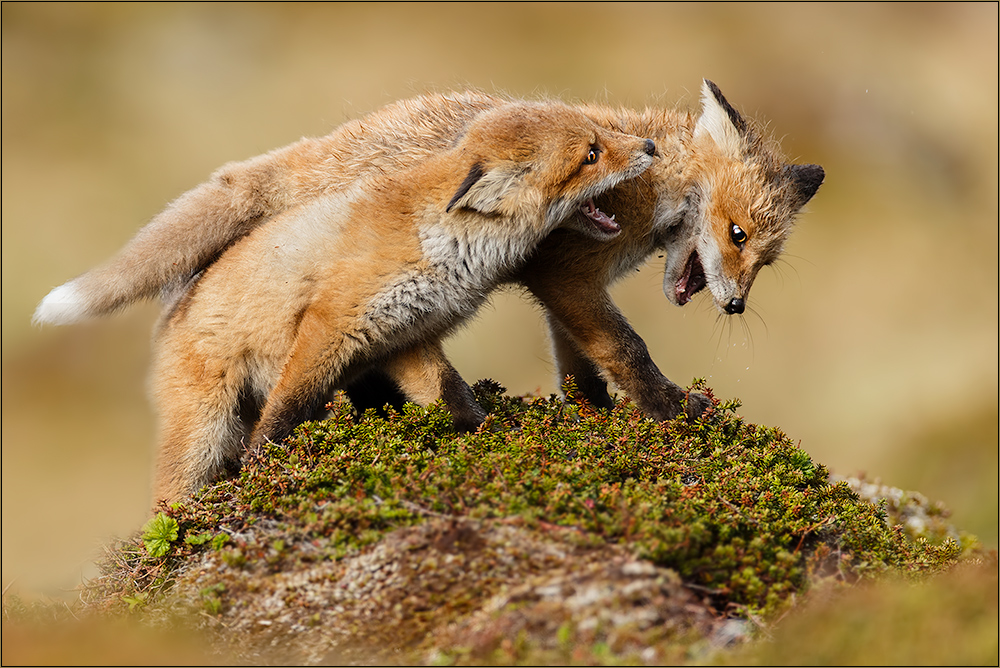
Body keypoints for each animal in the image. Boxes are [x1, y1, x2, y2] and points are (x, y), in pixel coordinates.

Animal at [143, 103, 656, 500]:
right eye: (591, 154)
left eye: (602, 133)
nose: (651, 146)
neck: (442, 246)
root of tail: (168, 321)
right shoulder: (331, 323)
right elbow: (284, 411)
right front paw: (263, 465)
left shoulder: (403, 336)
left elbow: (453, 398)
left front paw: (488, 438)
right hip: (205, 434)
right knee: (171, 496)